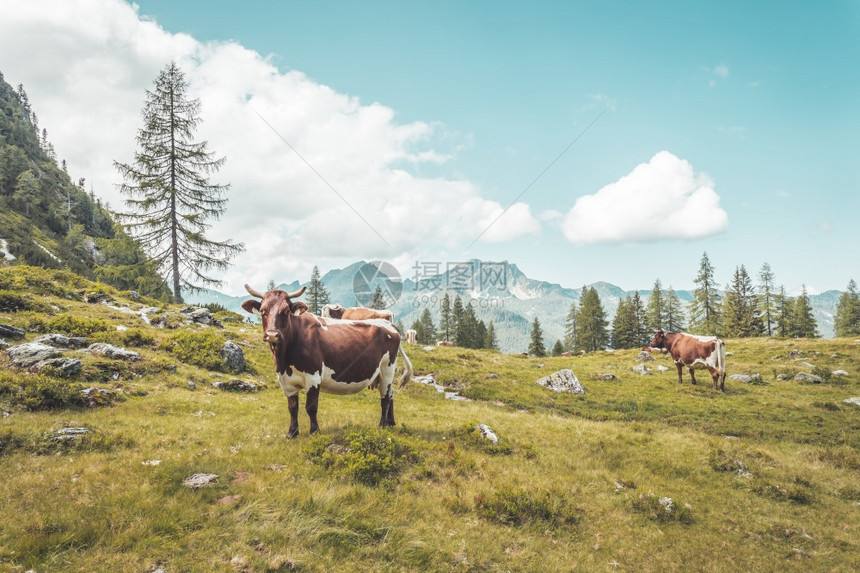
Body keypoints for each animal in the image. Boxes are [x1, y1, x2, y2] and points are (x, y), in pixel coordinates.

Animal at [242, 284, 414, 436]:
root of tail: (389, 324)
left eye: (285, 311)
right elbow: (292, 408)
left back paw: (382, 425)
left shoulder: (313, 377)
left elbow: (311, 407)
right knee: (390, 393)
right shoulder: (285, 381)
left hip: (387, 369)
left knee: (385, 398)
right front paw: (292, 433)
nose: (272, 334)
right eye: (263, 310)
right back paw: (391, 423)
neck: (285, 358)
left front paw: (314, 431)